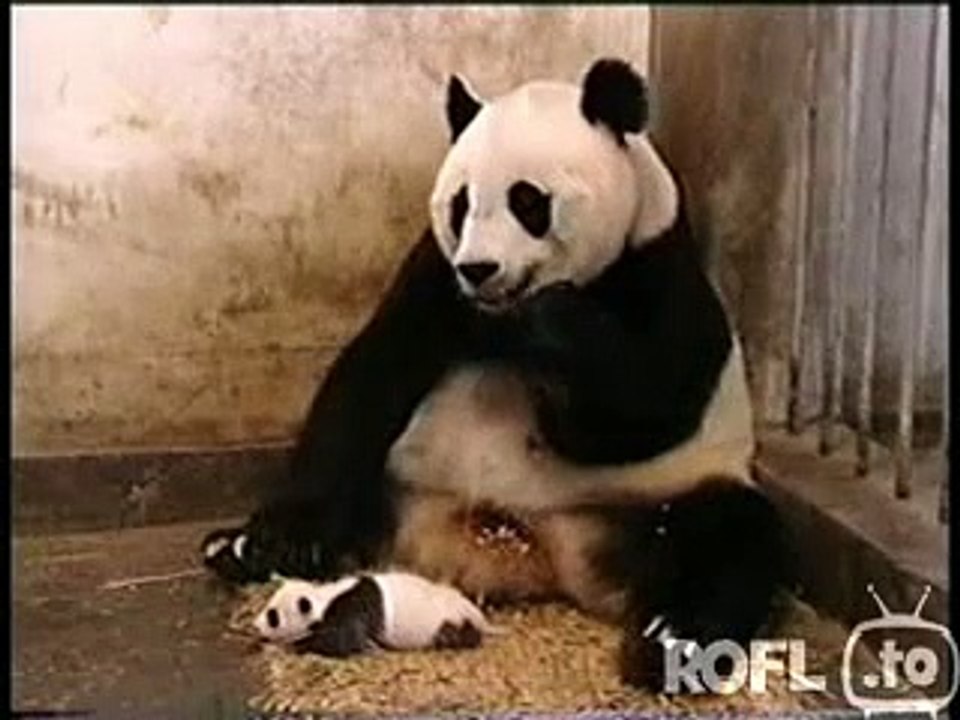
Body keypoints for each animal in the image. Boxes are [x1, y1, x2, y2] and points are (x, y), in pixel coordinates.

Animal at [202, 57, 785, 691]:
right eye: (461, 204)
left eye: (528, 201)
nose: (480, 268)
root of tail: (526, 552)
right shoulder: (436, 273)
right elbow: (372, 375)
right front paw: (285, 537)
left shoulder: (658, 267)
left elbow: (643, 410)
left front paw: (554, 322)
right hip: (404, 483)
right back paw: (239, 548)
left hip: (652, 500)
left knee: (732, 536)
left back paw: (669, 639)